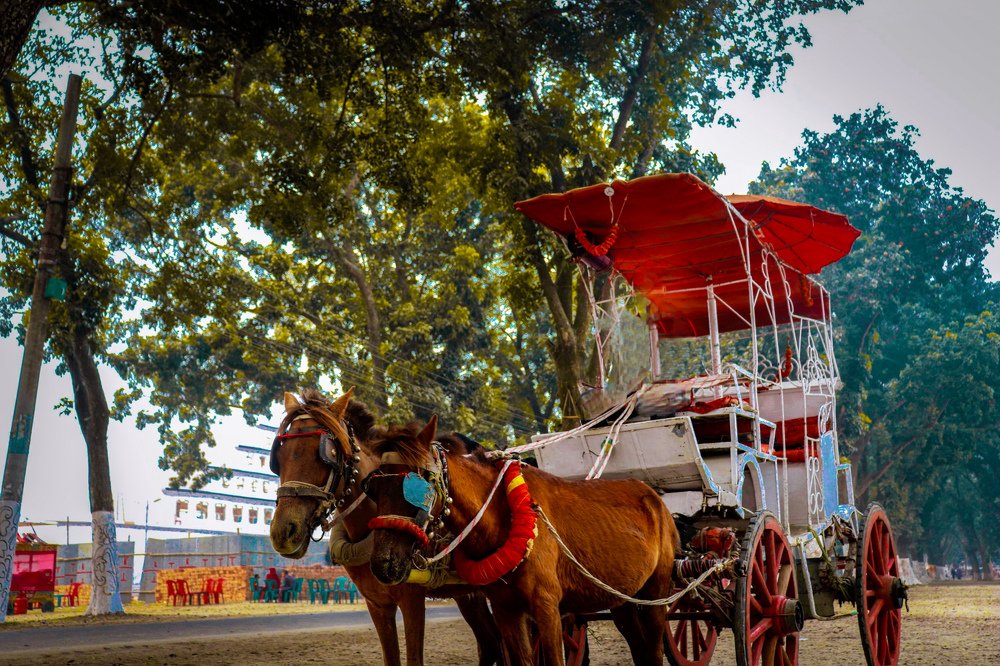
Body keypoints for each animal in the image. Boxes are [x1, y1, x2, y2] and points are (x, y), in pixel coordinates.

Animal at [268, 389, 503, 666]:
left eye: (328, 456)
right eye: (278, 458)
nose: (283, 533)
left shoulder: (412, 601)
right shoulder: (377, 604)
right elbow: (391, 657)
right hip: (469, 594)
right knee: (491, 644)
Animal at [366, 415, 680, 666]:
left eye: (416, 485)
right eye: (373, 488)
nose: (383, 563)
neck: (502, 517)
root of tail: (655, 498)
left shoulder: (548, 607)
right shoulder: (507, 610)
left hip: (656, 591)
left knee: (654, 649)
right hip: (622, 597)